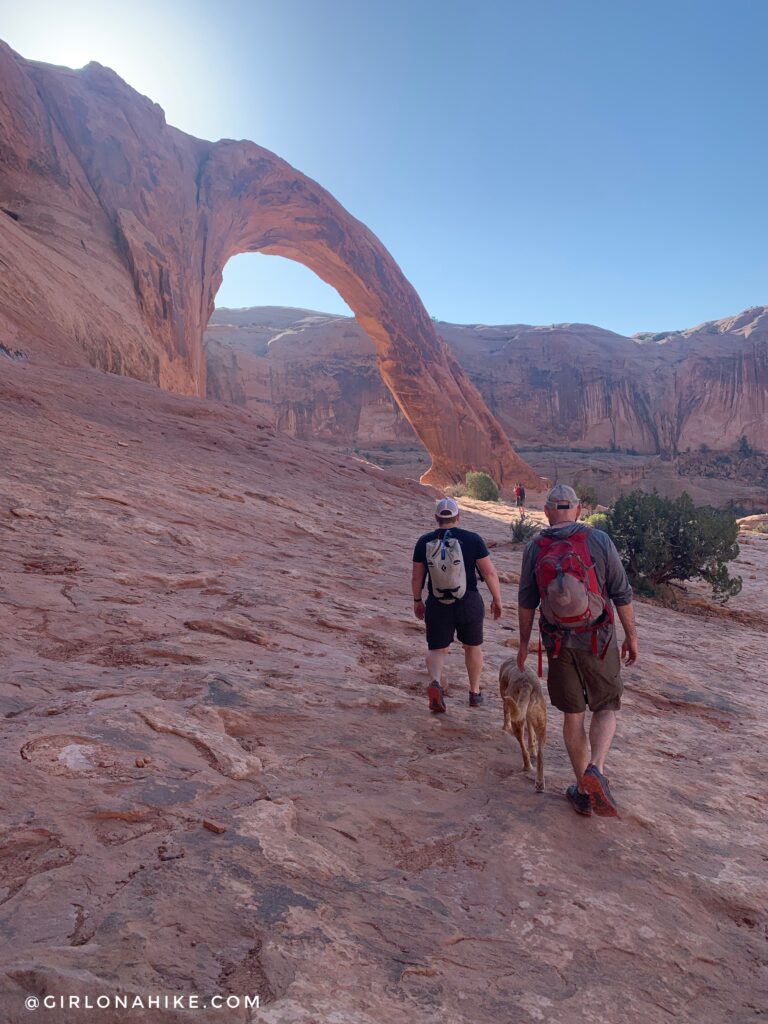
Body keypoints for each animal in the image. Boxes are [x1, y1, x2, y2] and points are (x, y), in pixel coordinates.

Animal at [501, 655, 548, 790]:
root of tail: (527, 684)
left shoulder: (505, 700)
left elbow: (505, 715)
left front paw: (505, 728)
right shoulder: (528, 716)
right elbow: (531, 734)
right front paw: (532, 748)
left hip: (517, 722)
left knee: (522, 746)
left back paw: (527, 766)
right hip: (541, 722)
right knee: (541, 755)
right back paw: (539, 782)